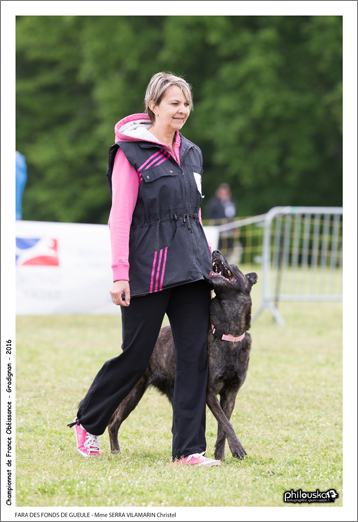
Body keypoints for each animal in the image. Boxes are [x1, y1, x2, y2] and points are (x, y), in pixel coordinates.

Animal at [107, 250, 256, 458]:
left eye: (234, 266)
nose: (215, 251)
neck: (227, 333)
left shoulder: (230, 394)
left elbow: (222, 428)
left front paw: (221, 456)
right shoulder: (209, 392)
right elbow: (226, 424)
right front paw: (237, 448)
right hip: (133, 392)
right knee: (113, 422)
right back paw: (115, 452)